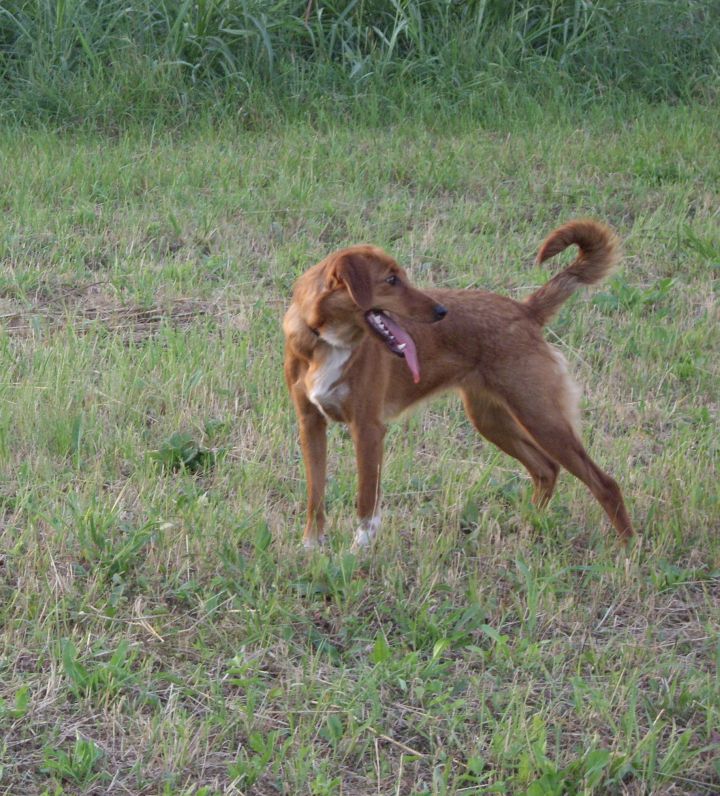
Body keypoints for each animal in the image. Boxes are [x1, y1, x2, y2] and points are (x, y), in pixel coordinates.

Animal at [282, 221, 632, 552]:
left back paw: (628, 548)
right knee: (546, 469)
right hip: (491, 419)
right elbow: (316, 495)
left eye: (402, 277)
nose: (441, 311)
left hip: (540, 416)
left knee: (605, 483)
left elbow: (366, 501)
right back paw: (525, 528)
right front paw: (311, 547)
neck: (325, 342)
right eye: (391, 280)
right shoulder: (310, 424)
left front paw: (359, 551)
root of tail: (525, 310)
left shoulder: (368, 428)